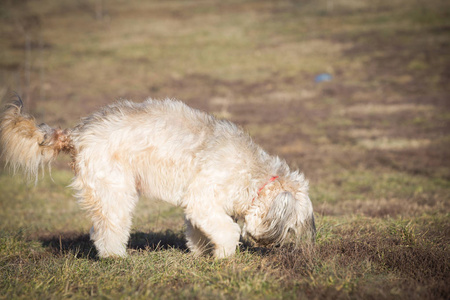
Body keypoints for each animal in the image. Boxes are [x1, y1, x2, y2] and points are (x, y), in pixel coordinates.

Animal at [0, 98, 314, 258]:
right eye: (290, 228)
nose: (278, 248)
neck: (254, 175)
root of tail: (77, 133)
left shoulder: (198, 206)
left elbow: (198, 232)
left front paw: (201, 255)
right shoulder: (204, 200)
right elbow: (227, 231)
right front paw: (224, 258)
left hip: (106, 193)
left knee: (98, 228)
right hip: (117, 191)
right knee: (109, 231)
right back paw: (116, 258)